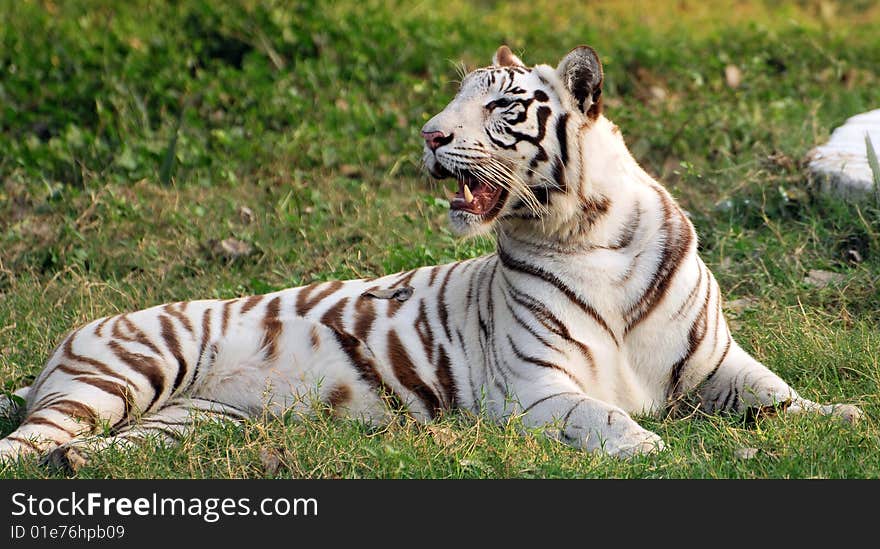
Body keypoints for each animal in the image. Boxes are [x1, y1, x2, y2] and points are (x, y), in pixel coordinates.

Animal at [0, 45, 860, 468]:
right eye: (454, 101)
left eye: (502, 104)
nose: (429, 134)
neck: (590, 233)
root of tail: (64, 343)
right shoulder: (536, 388)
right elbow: (603, 413)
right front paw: (650, 444)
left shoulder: (714, 361)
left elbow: (779, 393)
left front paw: (843, 415)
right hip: (121, 373)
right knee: (23, 443)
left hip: (184, 423)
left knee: (97, 449)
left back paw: (81, 468)